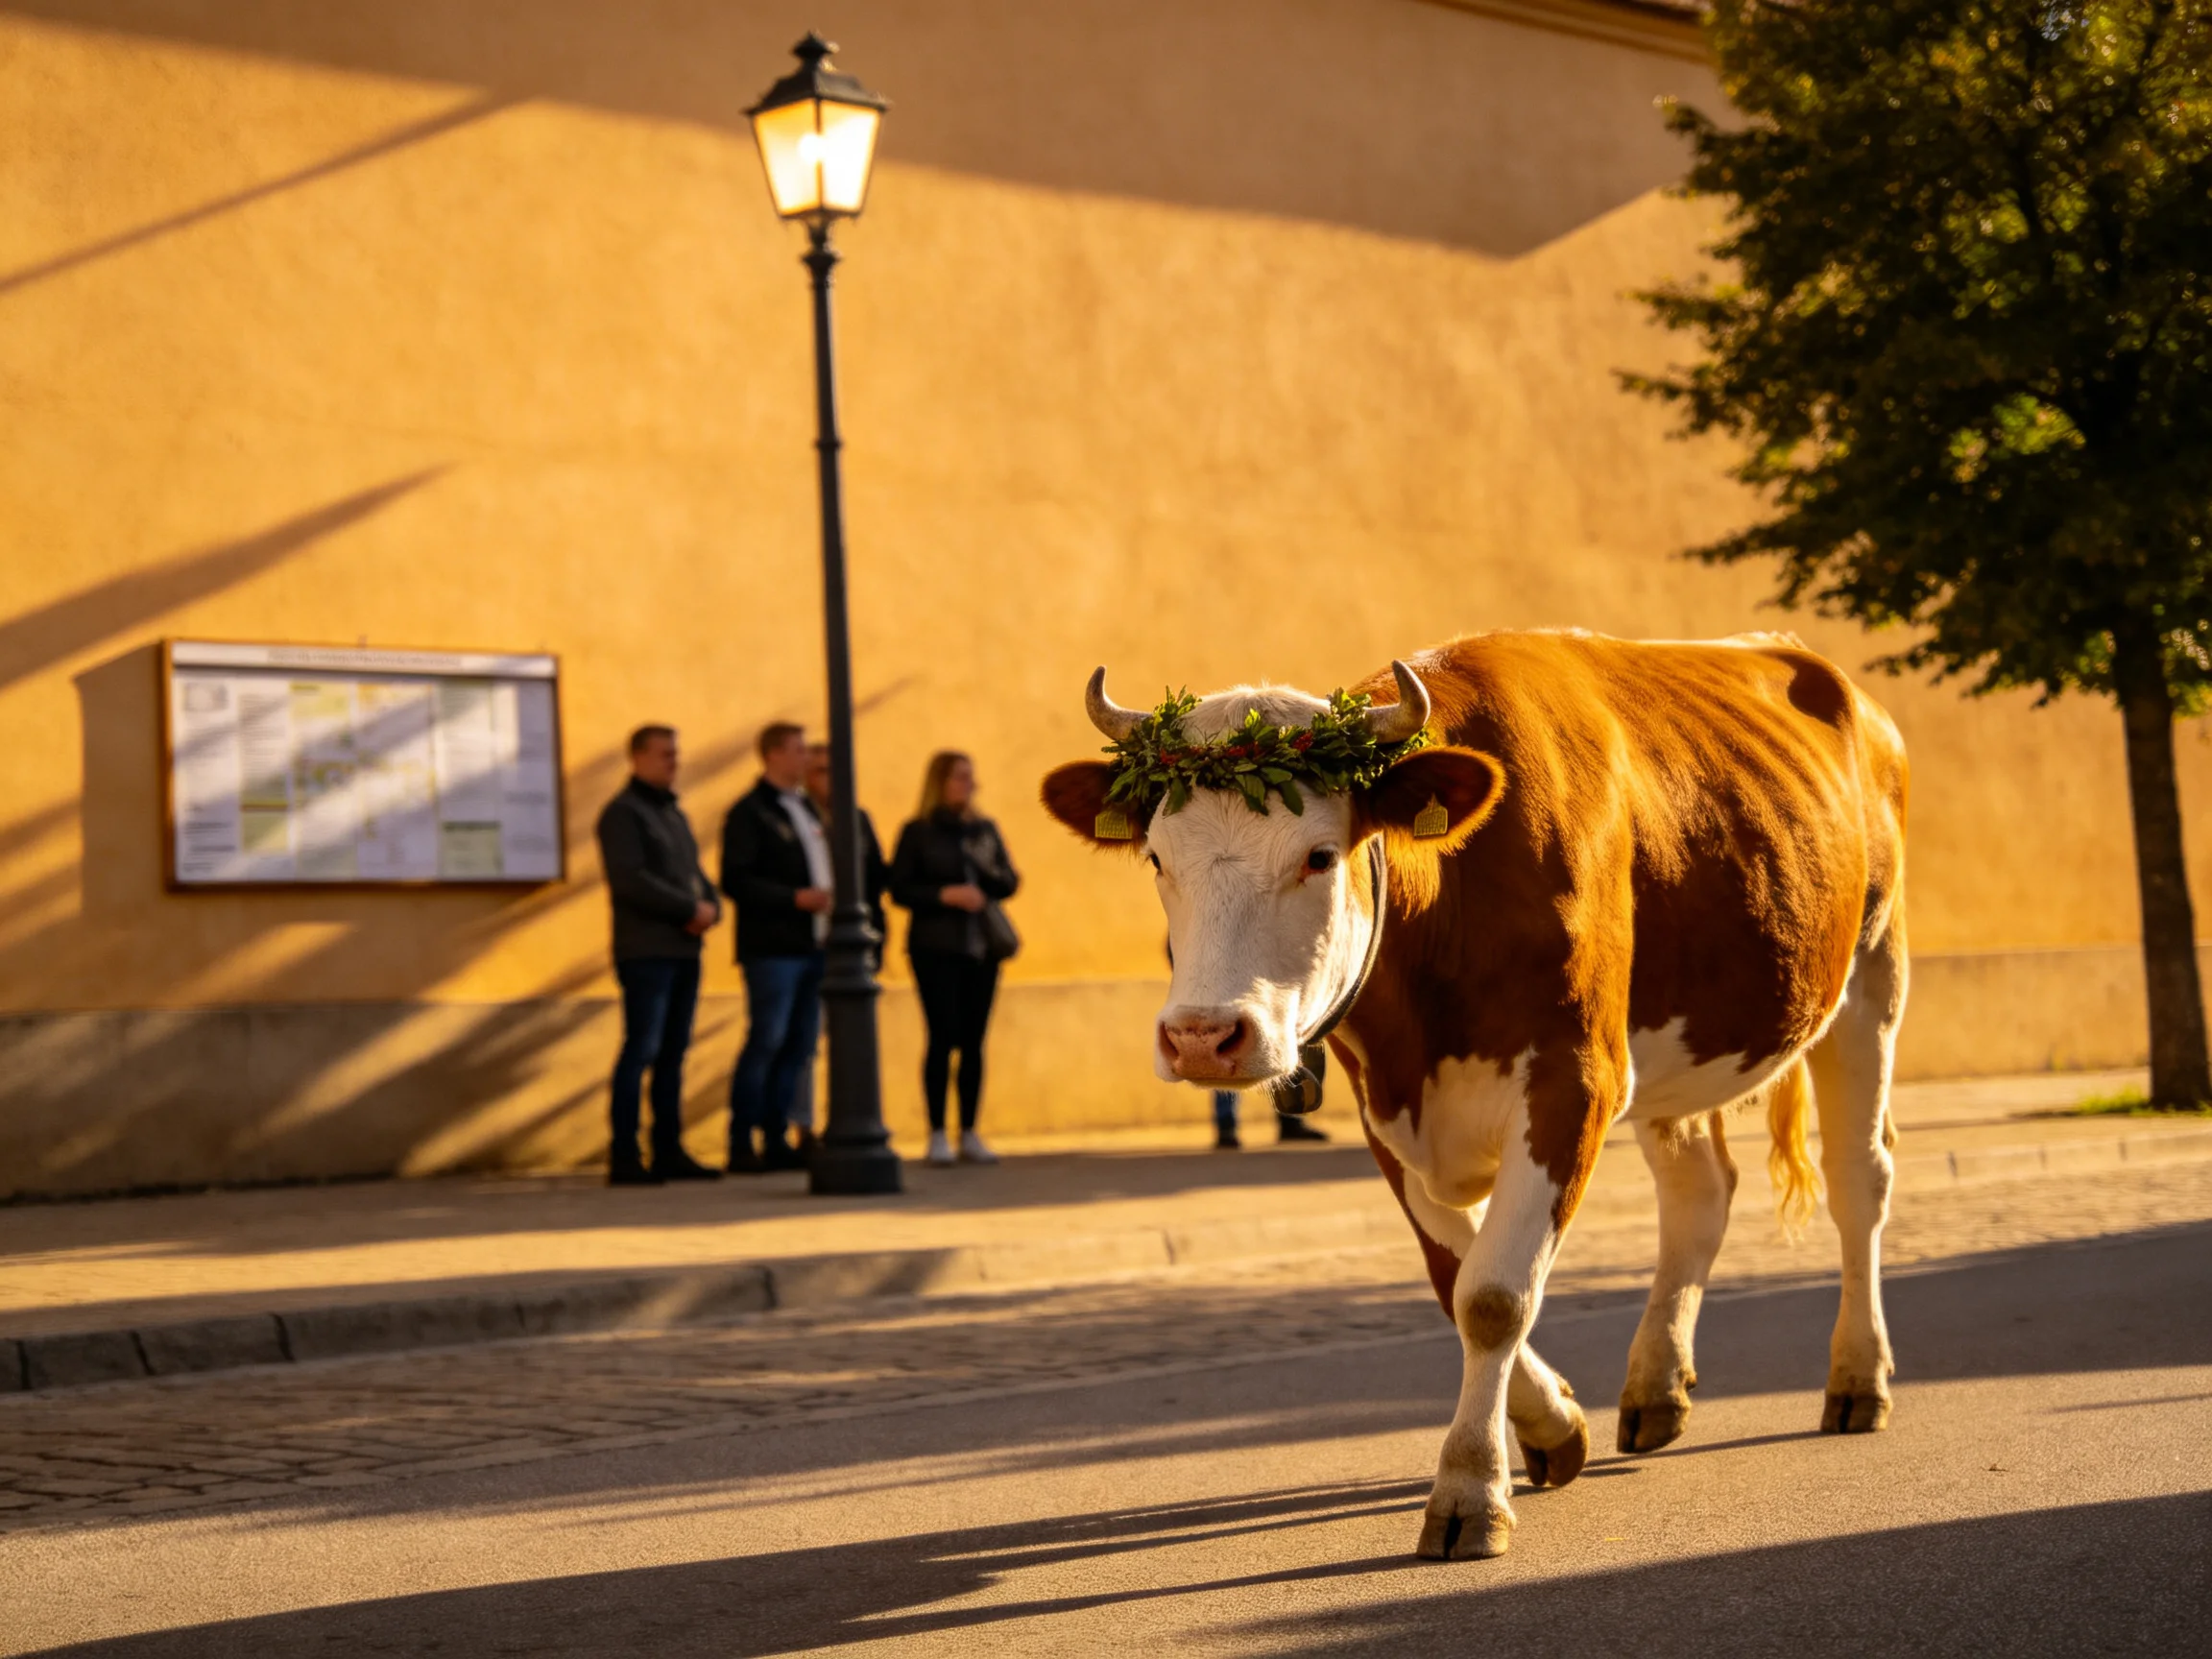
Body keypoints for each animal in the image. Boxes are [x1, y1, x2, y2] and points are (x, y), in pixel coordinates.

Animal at [1041, 630, 1907, 1560]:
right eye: (1157, 858)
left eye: (1318, 855)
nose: (1203, 1036)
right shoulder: (1385, 1103)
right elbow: (1450, 1273)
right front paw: (1554, 1425)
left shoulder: (1576, 1079)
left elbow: (1494, 1296)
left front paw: (1469, 1489)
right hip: (1683, 1052)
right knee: (1700, 1195)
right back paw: (1656, 1387)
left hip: (1871, 974)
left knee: (1859, 1179)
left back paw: (1858, 1378)